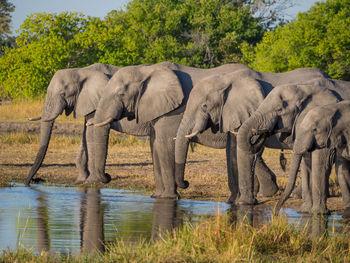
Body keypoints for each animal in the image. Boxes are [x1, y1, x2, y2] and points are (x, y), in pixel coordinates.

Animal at [89, 60, 280, 201]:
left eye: (121, 94)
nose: (107, 176)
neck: (148, 69)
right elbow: (155, 145)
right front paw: (157, 196)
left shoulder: (174, 110)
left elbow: (164, 144)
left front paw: (168, 198)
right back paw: (263, 193)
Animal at [175, 68, 334, 204]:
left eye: (204, 106)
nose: (186, 183)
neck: (227, 78)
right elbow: (232, 149)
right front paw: (232, 202)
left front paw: (245, 203)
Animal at [237, 76, 350, 212]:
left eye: (279, 109)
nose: (275, 212)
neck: (305, 89)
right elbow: (307, 162)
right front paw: (305, 211)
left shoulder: (325, 131)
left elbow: (321, 161)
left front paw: (316, 213)